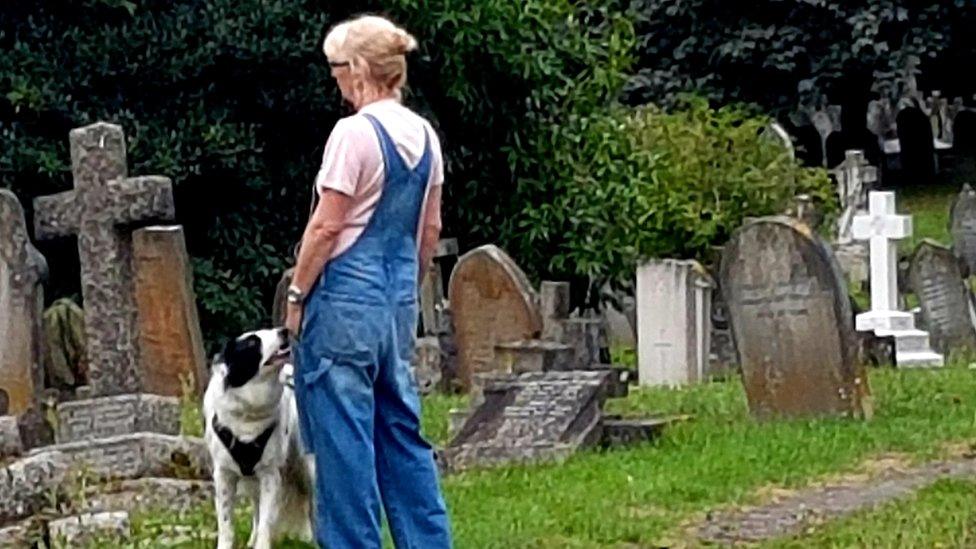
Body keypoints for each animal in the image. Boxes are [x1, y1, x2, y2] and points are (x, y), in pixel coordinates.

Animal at [204, 328, 314, 544]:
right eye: (252, 343)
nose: (284, 330)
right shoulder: (223, 474)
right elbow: (226, 524)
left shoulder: (270, 474)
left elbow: (266, 522)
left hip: (307, 466)